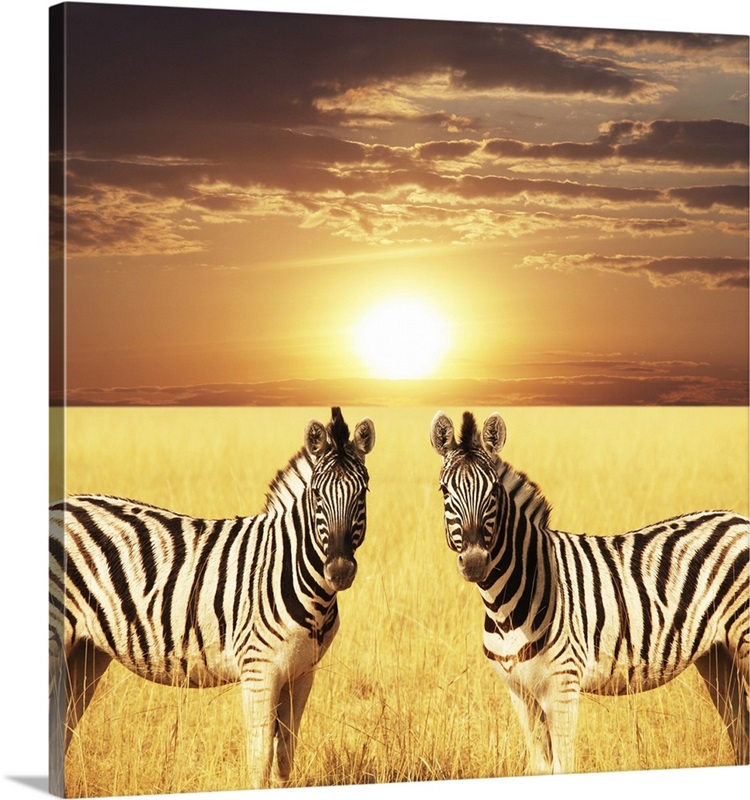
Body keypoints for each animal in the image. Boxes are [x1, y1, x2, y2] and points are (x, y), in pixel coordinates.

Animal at [49, 407, 375, 793]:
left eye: (362, 494)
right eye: (316, 497)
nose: (339, 571)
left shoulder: (303, 673)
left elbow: (284, 760)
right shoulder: (259, 670)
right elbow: (260, 761)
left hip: (86, 653)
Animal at [430, 410, 749, 774]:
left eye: (494, 490)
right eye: (444, 490)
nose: (474, 562)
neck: (505, 608)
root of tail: (738, 518)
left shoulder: (562, 686)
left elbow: (564, 767)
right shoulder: (519, 692)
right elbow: (539, 767)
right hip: (717, 655)